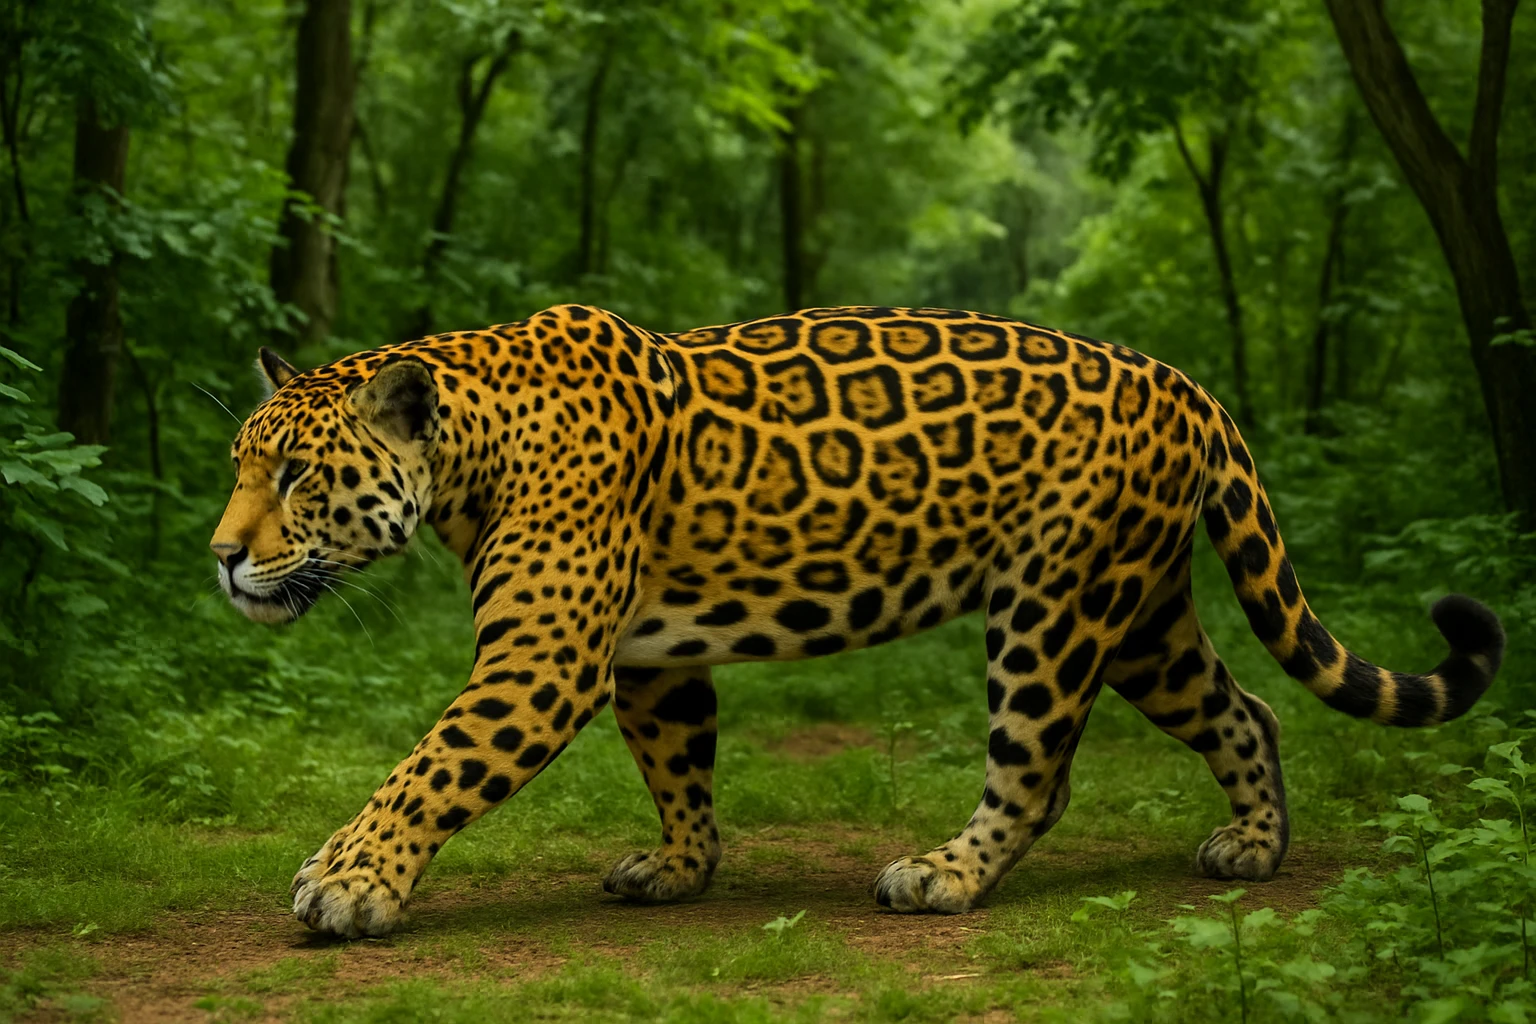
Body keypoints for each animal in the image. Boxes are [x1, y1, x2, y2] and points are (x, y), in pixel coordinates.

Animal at [211, 303, 1505, 939]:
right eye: (239, 466)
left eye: (296, 475)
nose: (221, 558)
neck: (473, 449)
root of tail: (1184, 380)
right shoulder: (649, 660)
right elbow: (680, 766)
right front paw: (681, 868)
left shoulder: (541, 661)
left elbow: (426, 770)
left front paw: (352, 881)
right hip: (1139, 613)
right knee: (1245, 710)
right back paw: (1254, 845)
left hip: (1053, 603)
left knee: (1036, 768)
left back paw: (943, 876)